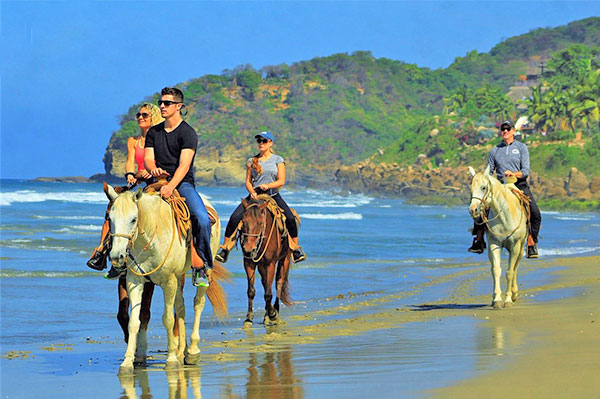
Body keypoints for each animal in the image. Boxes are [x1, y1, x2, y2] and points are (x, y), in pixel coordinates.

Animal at [105, 185, 227, 376]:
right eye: (110, 218)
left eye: (133, 219)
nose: (117, 256)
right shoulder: (135, 282)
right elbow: (134, 322)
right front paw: (127, 362)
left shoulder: (168, 282)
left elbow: (168, 319)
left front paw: (170, 360)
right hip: (178, 276)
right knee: (181, 307)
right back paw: (181, 351)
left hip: (203, 272)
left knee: (198, 303)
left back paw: (192, 351)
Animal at [240, 195, 294, 328]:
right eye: (243, 221)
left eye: (260, 223)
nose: (248, 249)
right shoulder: (249, 263)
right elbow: (251, 291)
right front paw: (248, 318)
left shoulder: (271, 264)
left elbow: (268, 293)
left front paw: (273, 314)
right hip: (261, 266)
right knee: (265, 284)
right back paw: (266, 315)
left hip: (284, 260)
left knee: (279, 283)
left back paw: (274, 312)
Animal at [466, 166, 528, 310]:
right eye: (470, 188)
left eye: (483, 187)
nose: (473, 210)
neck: (504, 216)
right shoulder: (494, 244)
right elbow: (496, 270)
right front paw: (497, 300)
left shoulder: (515, 246)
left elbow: (510, 272)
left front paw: (508, 300)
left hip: (521, 247)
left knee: (515, 268)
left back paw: (514, 293)